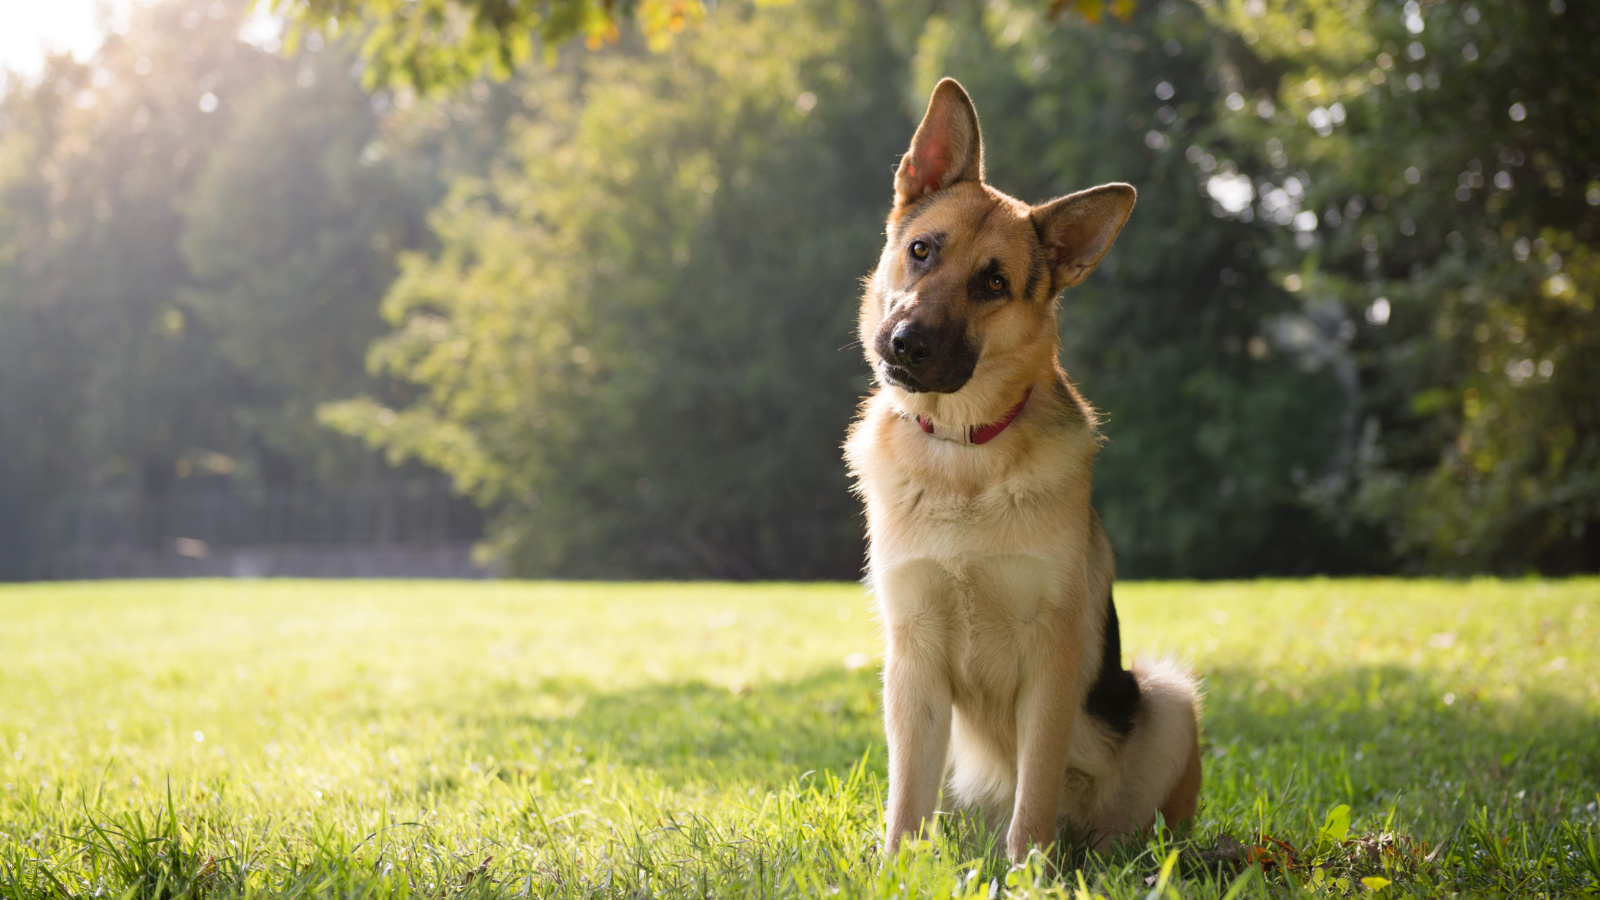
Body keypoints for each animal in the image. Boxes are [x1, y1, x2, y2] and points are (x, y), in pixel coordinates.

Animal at [851, 80, 1203, 858]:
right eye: (921, 250)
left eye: (993, 283)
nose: (906, 343)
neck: (964, 451)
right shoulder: (912, 661)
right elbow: (905, 799)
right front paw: (896, 868)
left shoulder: (1053, 656)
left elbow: (1035, 790)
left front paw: (1029, 870)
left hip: (1166, 698)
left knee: (1136, 823)